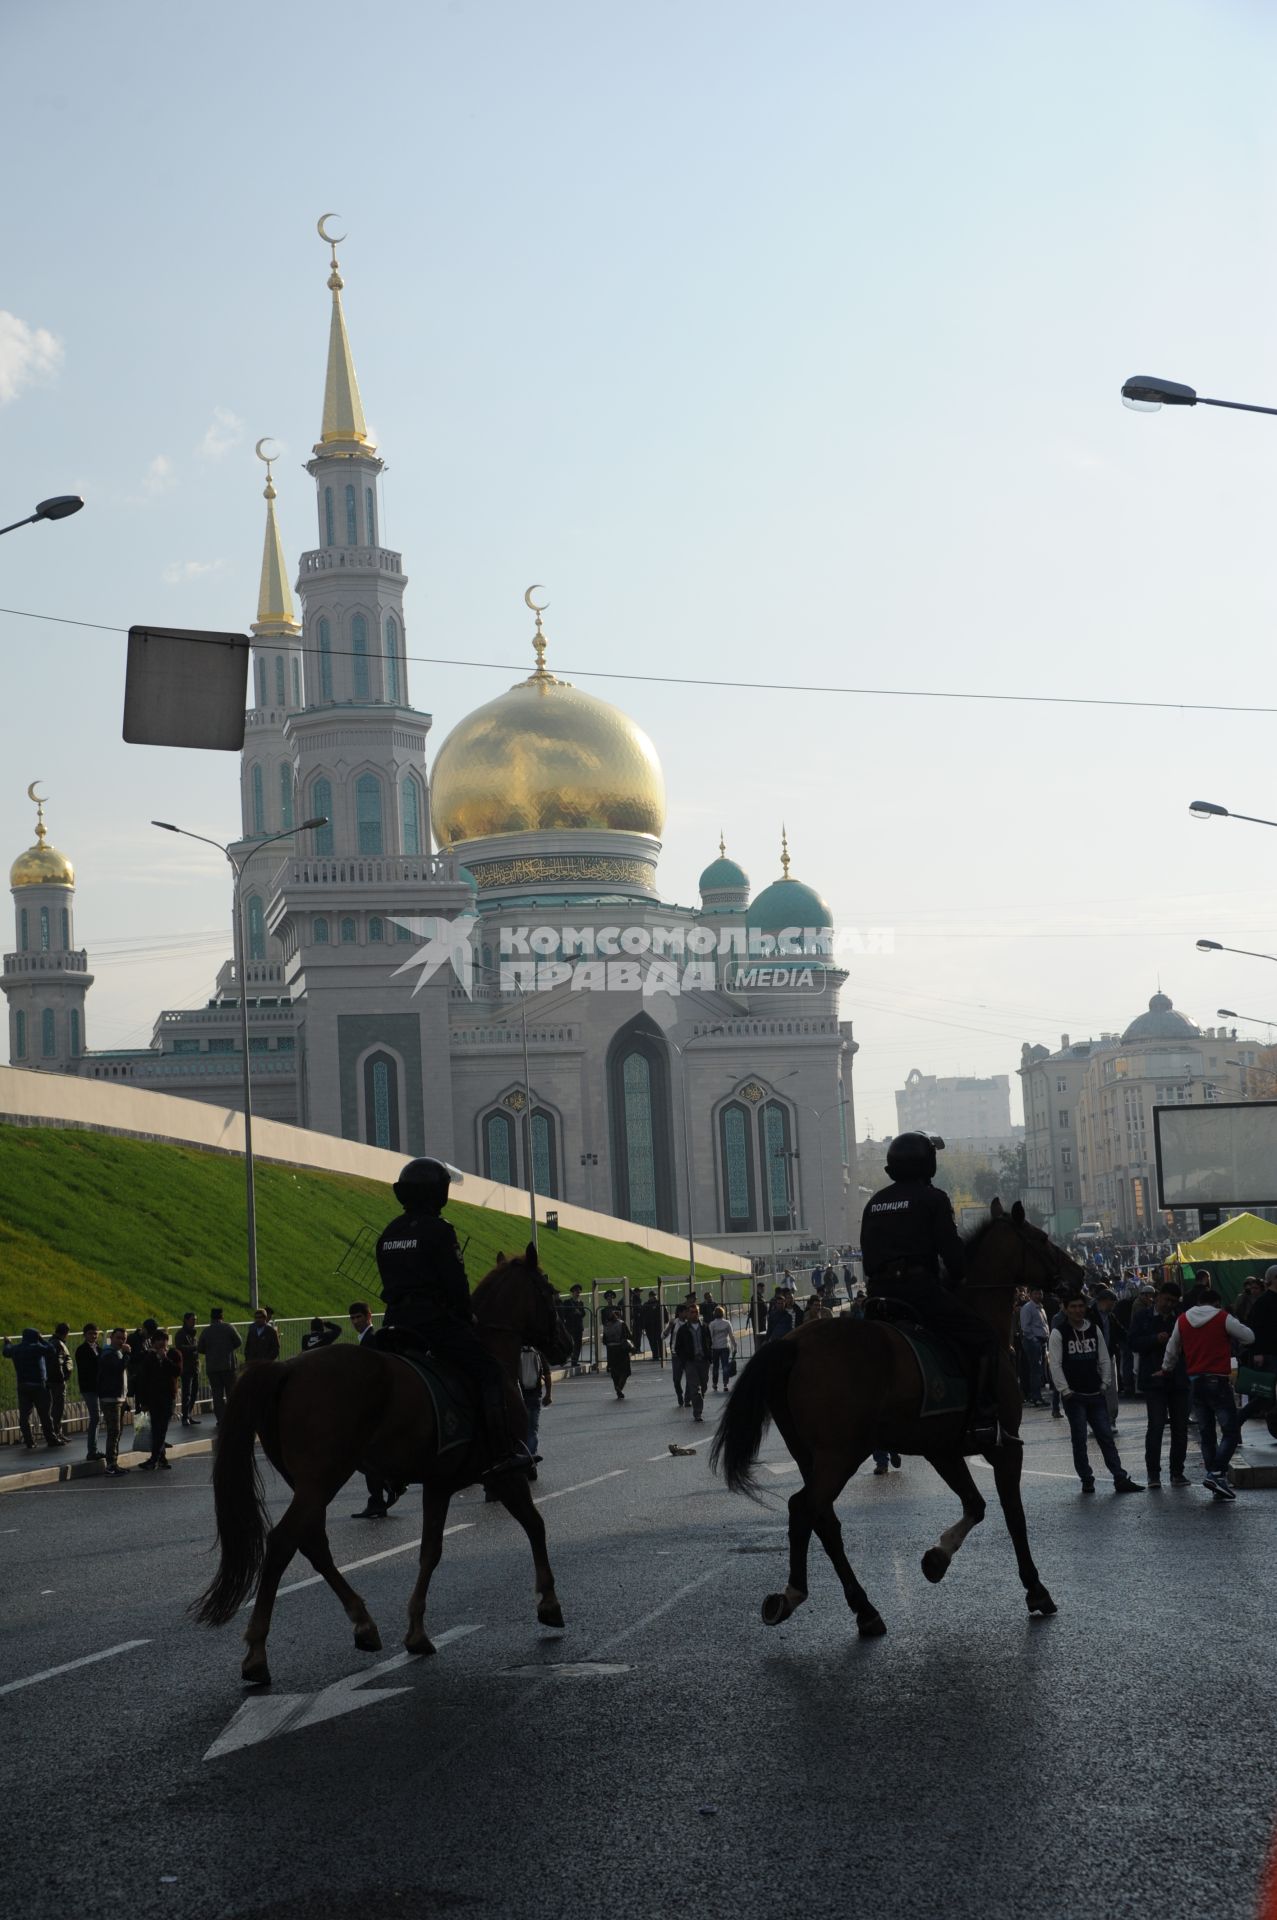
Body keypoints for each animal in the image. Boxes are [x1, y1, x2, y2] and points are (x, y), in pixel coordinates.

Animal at [192, 1244, 568, 1681]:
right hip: (324, 1478)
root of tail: (286, 1367)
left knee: (313, 1542)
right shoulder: (505, 1473)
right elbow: (535, 1525)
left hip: (309, 1482)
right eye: (549, 1292)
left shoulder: (439, 1483)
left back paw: (363, 1624)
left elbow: (430, 1551)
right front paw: (549, 1603)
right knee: (284, 1541)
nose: (564, 1344)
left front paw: (417, 1631)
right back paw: (256, 1652)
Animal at [710, 1198, 1083, 1635]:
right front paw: (1036, 1589)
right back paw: (795, 1594)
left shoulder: (943, 1449)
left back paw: (863, 1608)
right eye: (1041, 1238)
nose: (1079, 1274)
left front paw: (937, 1558)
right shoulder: (1006, 1447)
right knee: (804, 1508)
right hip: (841, 1453)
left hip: (811, 1456)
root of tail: (794, 1345)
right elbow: (1014, 1516)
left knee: (824, 1518)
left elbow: (975, 1504)